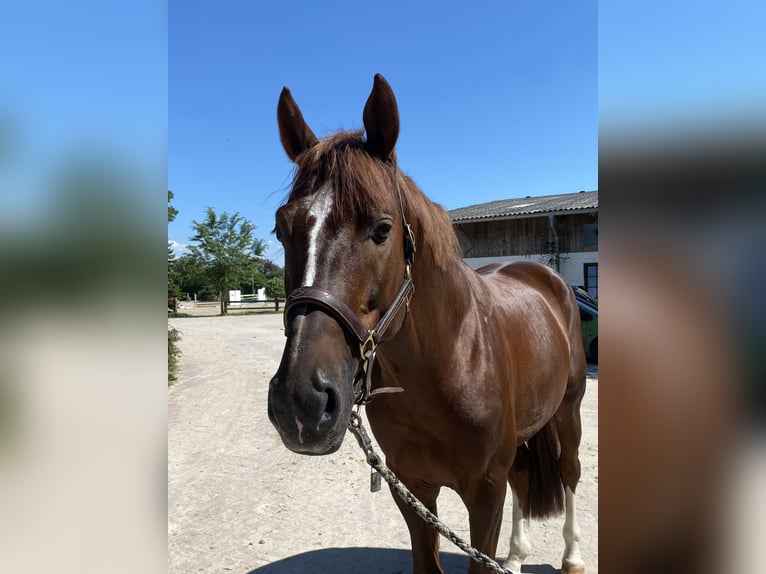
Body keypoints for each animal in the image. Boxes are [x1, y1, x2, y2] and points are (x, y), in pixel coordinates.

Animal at [268, 74, 592, 572]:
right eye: (281, 230)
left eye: (382, 229)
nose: (300, 403)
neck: (448, 362)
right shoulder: (414, 490)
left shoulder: (485, 494)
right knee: (523, 477)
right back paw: (516, 557)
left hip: (567, 411)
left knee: (570, 471)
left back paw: (572, 556)